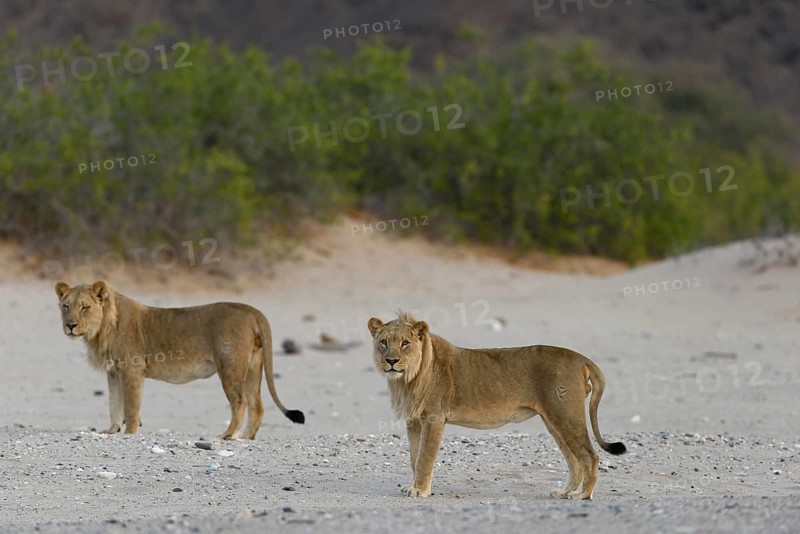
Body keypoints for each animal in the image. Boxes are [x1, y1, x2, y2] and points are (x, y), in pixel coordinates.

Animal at [55, 280, 304, 439]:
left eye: (85, 307)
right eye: (66, 306)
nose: (70, 325)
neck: (101, 329)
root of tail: (253, 310)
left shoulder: (132, 370)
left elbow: (131, 406)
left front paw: (130, 433)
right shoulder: (114, 372)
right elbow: (114, 404)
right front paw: (110, 431)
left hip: (230, 366)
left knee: (240, 401)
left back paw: (228, 435)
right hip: (253, 365)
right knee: (257, 405)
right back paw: (245, 437)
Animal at [367, 311, 626, 500]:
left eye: (405, 343)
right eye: (383, 343)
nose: (391, 361)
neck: (406, 380)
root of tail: (581, 358)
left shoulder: (434, 419)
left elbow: (424, 458)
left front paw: (420, 490)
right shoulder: (413, 421)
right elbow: (414, 457)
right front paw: (413, 486)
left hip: (565, 415)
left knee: (590, 456)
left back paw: (582, 495)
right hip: (553, 420)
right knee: (574, 460)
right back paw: (564, 492)